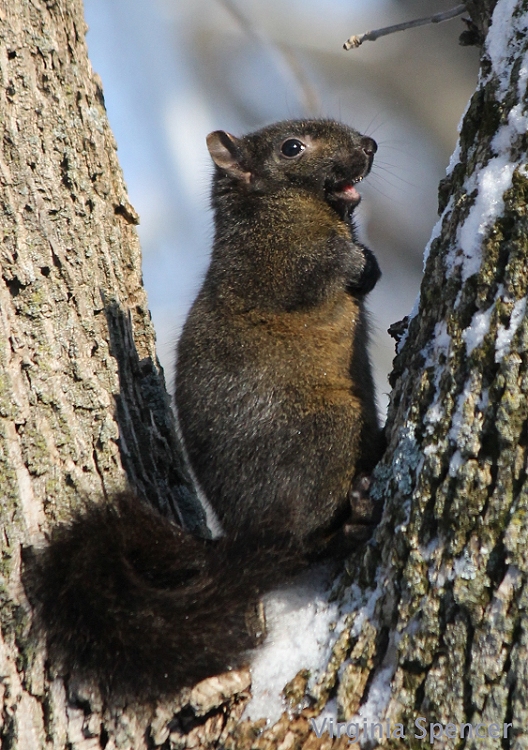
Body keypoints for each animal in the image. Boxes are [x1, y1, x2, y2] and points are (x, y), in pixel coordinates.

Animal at [25, 119, 385, 703]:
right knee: (299, 545)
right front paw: (354, 261)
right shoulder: (269, 265)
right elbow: (312, 272)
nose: (369, 147)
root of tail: (244, 537)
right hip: (325, 435)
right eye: (292, 149)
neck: (289, 207)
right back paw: (346, 526)